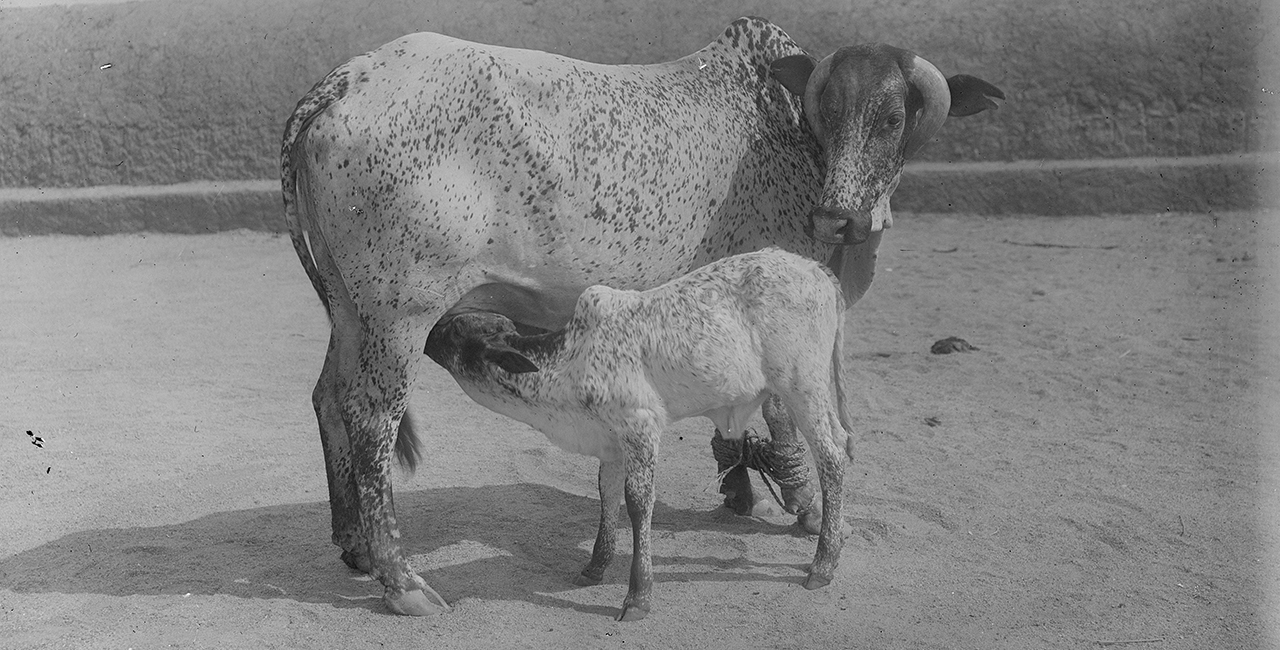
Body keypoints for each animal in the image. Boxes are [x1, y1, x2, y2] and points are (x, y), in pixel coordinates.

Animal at [424, 246, 855, 619]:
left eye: (456, 331)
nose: (426, 332)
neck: (569, 362)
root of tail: (813, 266)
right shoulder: (610, 443)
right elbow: (607, 496)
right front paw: (594, 567)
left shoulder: (641, 428)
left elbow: (637, 503)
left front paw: (638, 595)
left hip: (803, 387)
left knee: (832, 456)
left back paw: (823, 563)